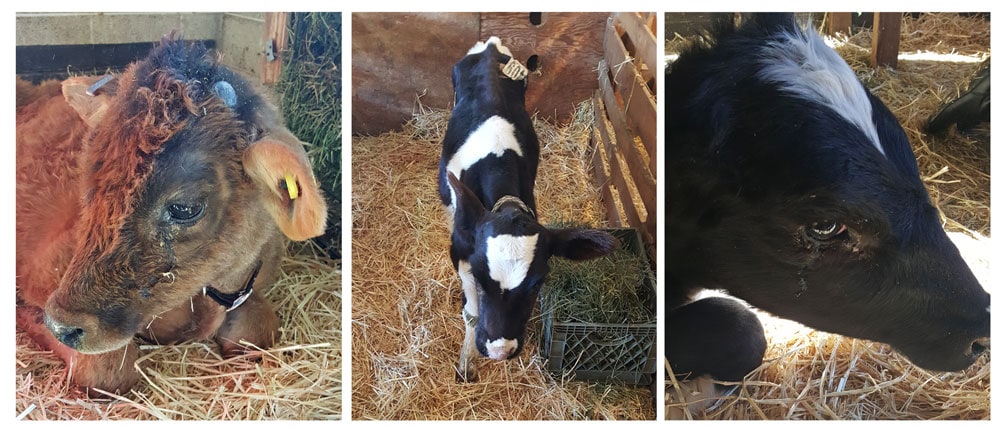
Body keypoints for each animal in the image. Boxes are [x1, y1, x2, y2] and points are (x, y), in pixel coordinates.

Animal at [440, 36, 616, 382]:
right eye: (481, 277)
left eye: (537, 284)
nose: (499, 350)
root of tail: (490, 45)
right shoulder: (460, 248)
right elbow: (471, 314)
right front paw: (466, 363)